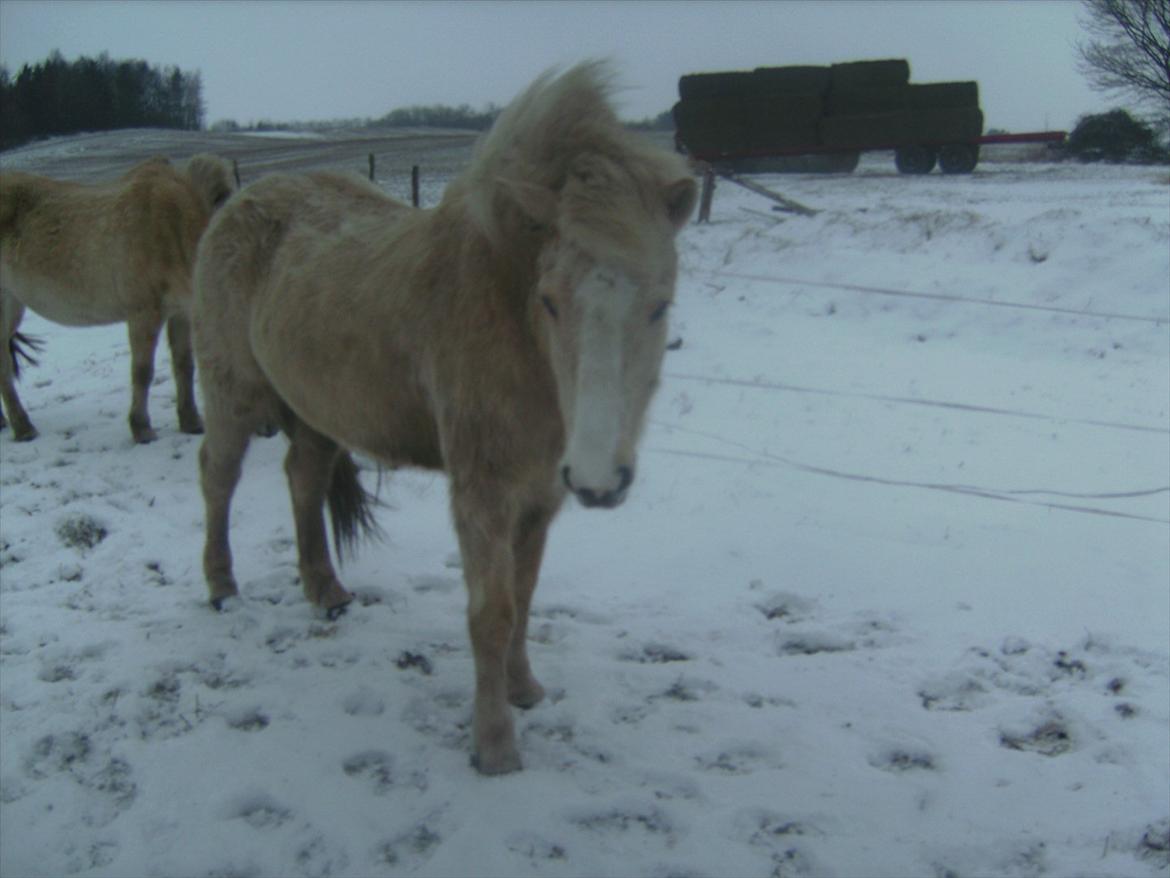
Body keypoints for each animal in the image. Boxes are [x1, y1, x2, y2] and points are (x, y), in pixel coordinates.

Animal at [0, 153, 237, 442]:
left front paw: (191, 422)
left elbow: (184, 365)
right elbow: (142, 372)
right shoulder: (143, 313)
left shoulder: (181, 312)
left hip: (13, 304)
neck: (174, 226)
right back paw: (23, 428)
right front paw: (142, 428)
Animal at [191, 63, 692, 777]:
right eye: (549, 301)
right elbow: (492, 611)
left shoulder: (540, 494)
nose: (599, 479)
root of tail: (236, 201)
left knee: (303, 479)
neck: (511, 323)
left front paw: (524, 689)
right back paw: (222, 586)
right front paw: (494, 744)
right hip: (231, 393)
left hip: (315, 408)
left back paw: (326, 591)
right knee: (218, 477)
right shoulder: (483, 490)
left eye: (660, 304)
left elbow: (525, 595)